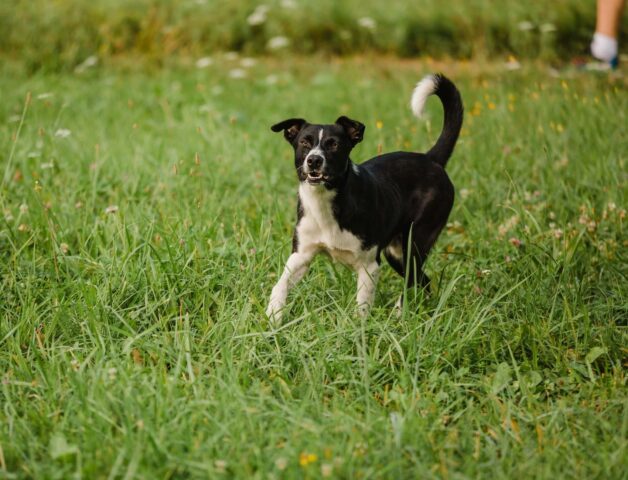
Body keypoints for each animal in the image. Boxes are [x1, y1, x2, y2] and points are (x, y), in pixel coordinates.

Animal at [264, 74, 462, 322]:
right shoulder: (301, 255)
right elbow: (279, 285)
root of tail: (431, 159)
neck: (326, 203)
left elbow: (361, 306)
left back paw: (399, 315)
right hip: (396, 253)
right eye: (304, 143)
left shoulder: (369, 266)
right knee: (422, 280)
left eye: (334, 144)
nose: (314, 160)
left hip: (415, 241)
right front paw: (273, 316)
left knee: (412, 279)